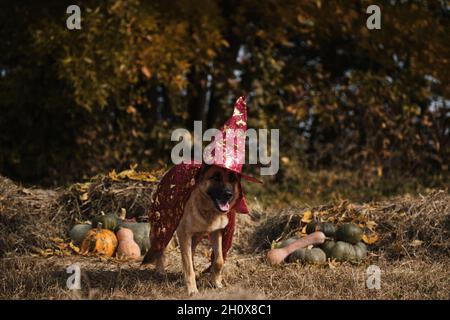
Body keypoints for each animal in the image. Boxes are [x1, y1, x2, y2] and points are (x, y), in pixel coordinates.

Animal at [144, 165, 243, 296]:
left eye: (232, 179)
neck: (208, 211)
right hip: (163, 228)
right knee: (159, 247)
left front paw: (216, 283)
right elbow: (188, 266)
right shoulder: (184, 234)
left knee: (191, 252)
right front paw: (192, 290)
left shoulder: (216, 233)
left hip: (195, 237)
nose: (228, 194)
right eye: (216, 177)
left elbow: (219, 260)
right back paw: (160, 271)